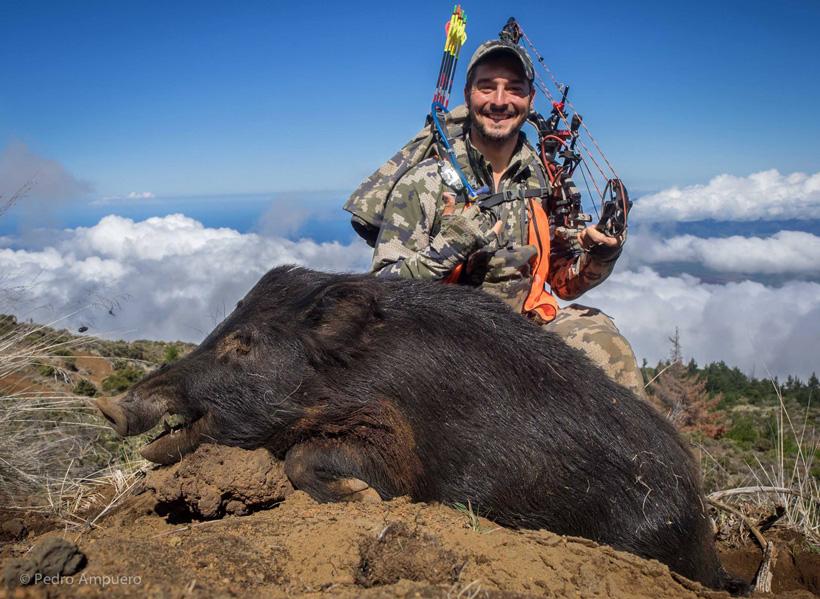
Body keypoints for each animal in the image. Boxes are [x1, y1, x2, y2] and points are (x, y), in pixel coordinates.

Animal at [96, 266, 743, 592]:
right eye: (222, 327)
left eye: (243, 344)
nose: (110, 406)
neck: (354, 376)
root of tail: (707, 534)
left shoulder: (398, 449)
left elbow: (308, 460)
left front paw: (358, 497)